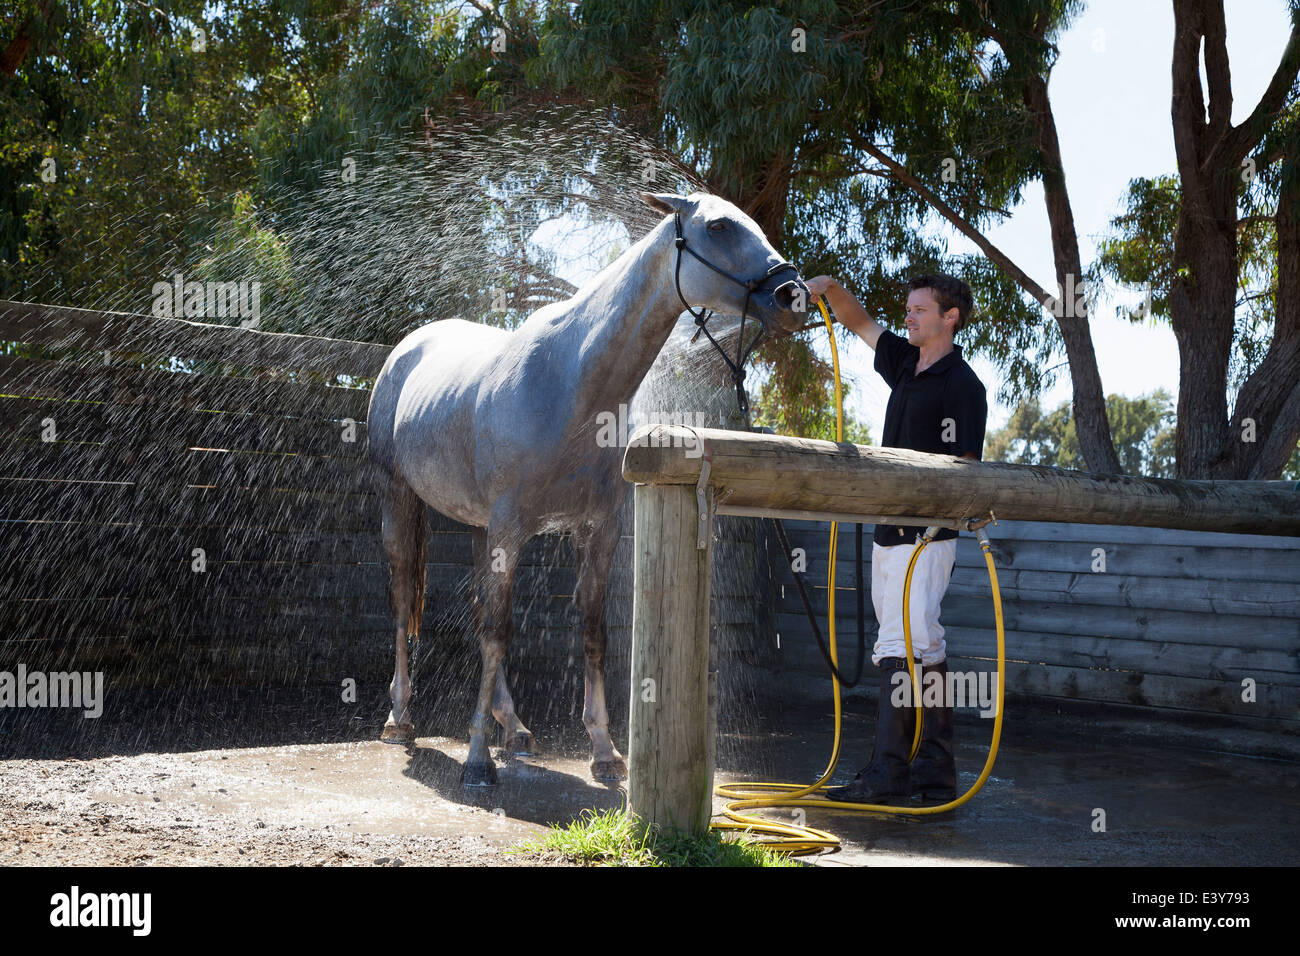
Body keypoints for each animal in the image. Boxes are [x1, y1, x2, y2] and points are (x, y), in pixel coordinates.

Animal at [365, 190, 808, 785]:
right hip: (400, 501)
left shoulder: (597, 530)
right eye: (718, 226)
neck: (571, 380)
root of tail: (406, 349)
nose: (793, 295)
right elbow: (498, 632)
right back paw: (401, 718)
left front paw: (604, 751)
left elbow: (591, 631)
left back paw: (516, 727)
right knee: (403, 600)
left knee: (481, 612)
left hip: (482, 529)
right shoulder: (510, 528)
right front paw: (478, 759)